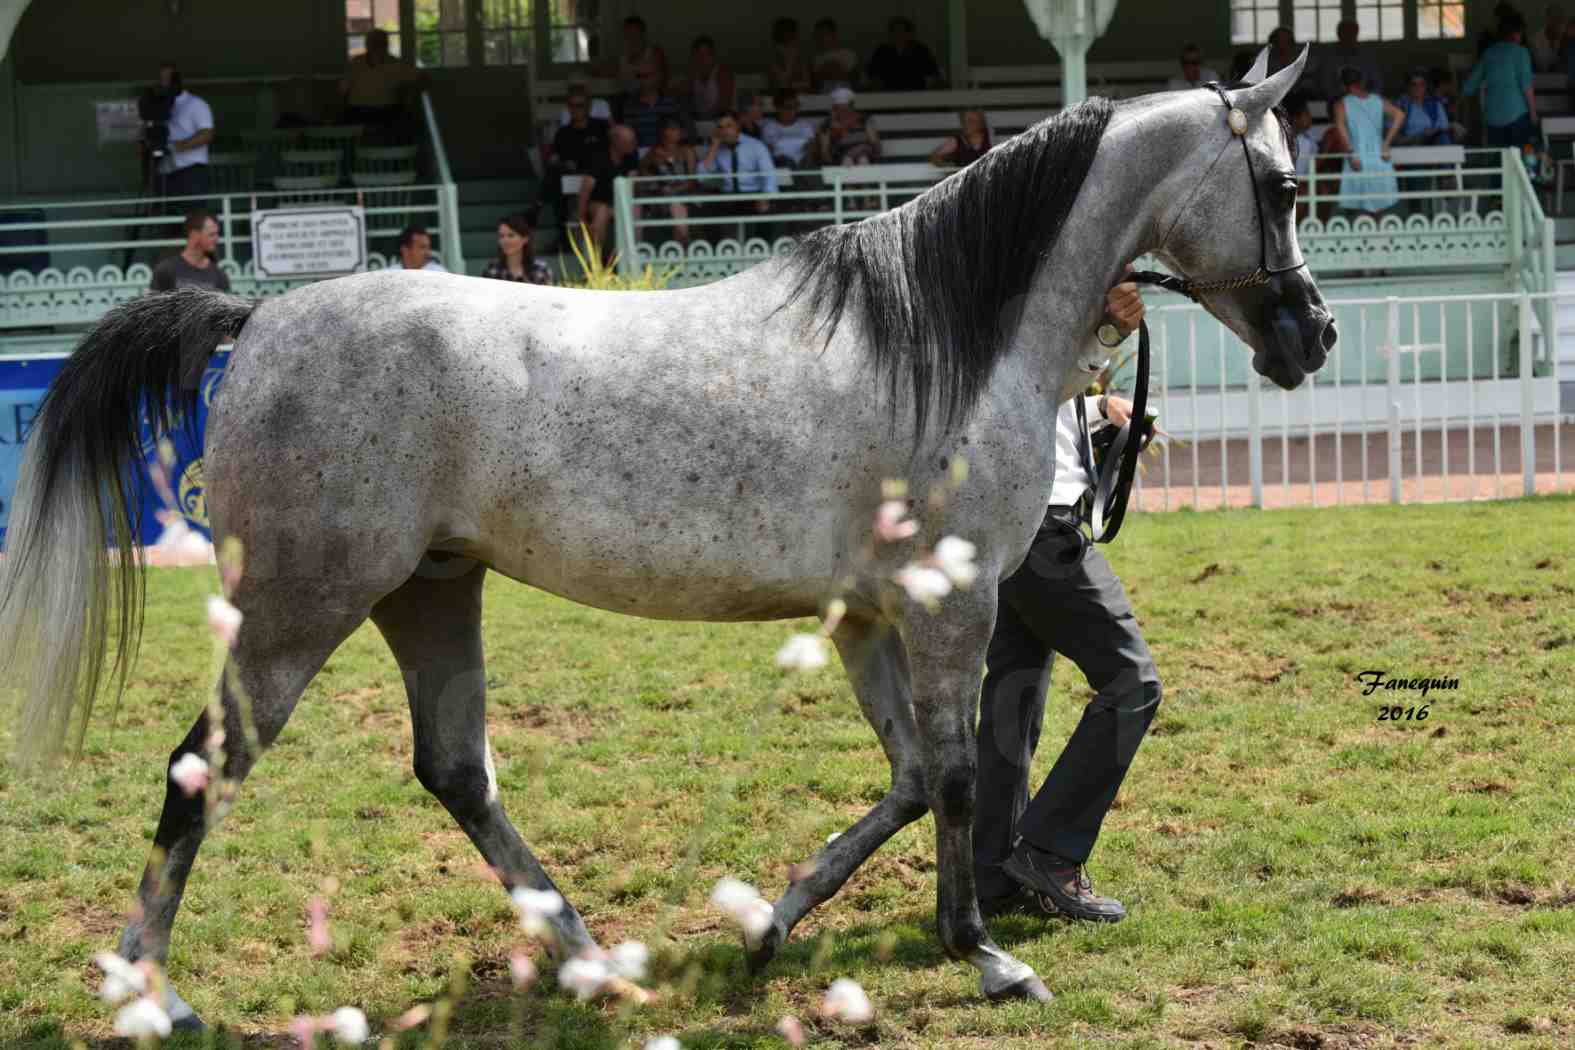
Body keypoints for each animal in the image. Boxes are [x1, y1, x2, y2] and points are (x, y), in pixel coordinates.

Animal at [0, 53, 1329, 1020]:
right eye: (1281, 187)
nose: (1309, 335)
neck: (943, 341)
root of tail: (257, 320)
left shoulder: (866, 614)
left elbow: (907, 778)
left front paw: (772, 923)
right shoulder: (948, 603)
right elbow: (954, 775)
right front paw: (982, 953)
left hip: (430, 589)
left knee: (456, 771)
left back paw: (592, 961)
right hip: (297, 608)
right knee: (200, 769)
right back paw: (149, 992)